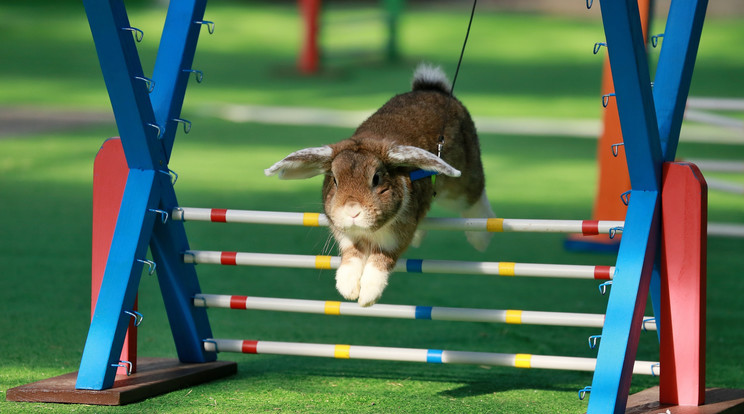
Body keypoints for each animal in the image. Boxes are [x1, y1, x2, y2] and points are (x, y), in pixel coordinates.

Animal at [266, 62, 494, 308]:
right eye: (334, 180)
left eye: (376, 178)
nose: (352, 211)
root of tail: (432, 88)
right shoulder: (347, 238)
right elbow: (351, 258)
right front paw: (347, 288)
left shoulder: (395, 239)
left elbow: (380, 262)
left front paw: (367, 297)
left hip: (459, 183)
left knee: (475, 196)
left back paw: (481, 239)